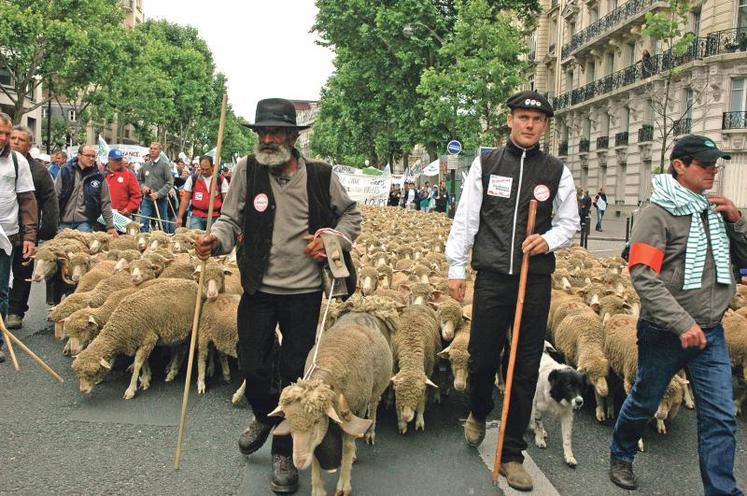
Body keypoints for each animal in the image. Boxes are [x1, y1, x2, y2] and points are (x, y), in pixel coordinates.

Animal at [72, 280, 200, 400]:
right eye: (78, 374)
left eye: (93, 372)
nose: (83, 390)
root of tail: (194, 283)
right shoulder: (140, 341)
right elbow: (144, 361)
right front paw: (146, 378)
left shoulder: (148, 339)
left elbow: (138, 363)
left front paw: (131, 390)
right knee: (179, 348)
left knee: (182, 349)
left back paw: (173, 371)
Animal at [270, 316, 398, 496]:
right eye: (289, 421)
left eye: (316, 421)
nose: (300, 463)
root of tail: (363, 315)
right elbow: (316, 451)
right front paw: (318, 489)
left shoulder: (355, 409)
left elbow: (348, 446)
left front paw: (344, 485)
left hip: (377, 386)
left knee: (373, 406)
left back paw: (369, 433)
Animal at [392, 302, 438, 434]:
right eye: (397, 392)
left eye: (418, 394)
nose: (406, 417)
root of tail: (417, 304)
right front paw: (402, 424)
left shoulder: (427, 373)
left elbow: (422, 401)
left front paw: (419, 420)